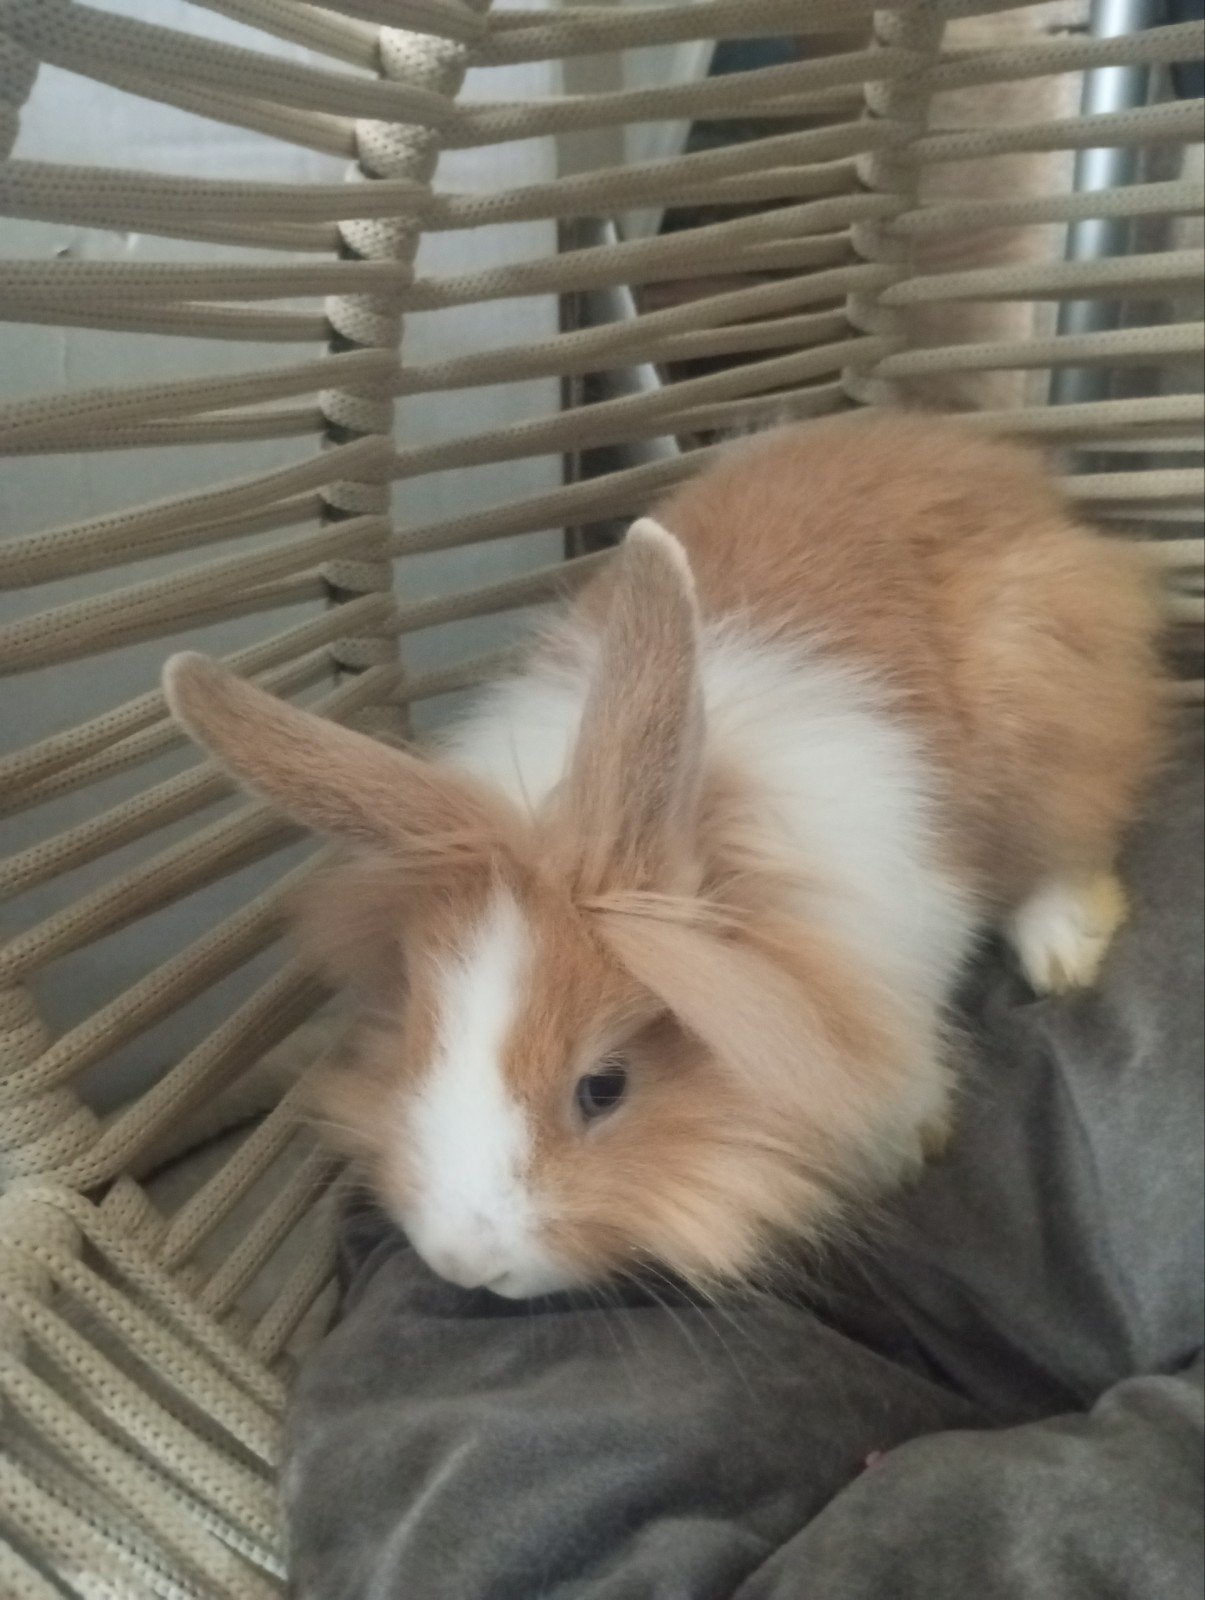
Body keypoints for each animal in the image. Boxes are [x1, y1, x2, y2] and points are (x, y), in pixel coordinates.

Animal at [163, 412, 1163, 1301]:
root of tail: (983, 457)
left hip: (1047, 710)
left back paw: (1064, 955)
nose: (464, 1266)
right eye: (416, 1042)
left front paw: (905, 1146)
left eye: (604, 1088)